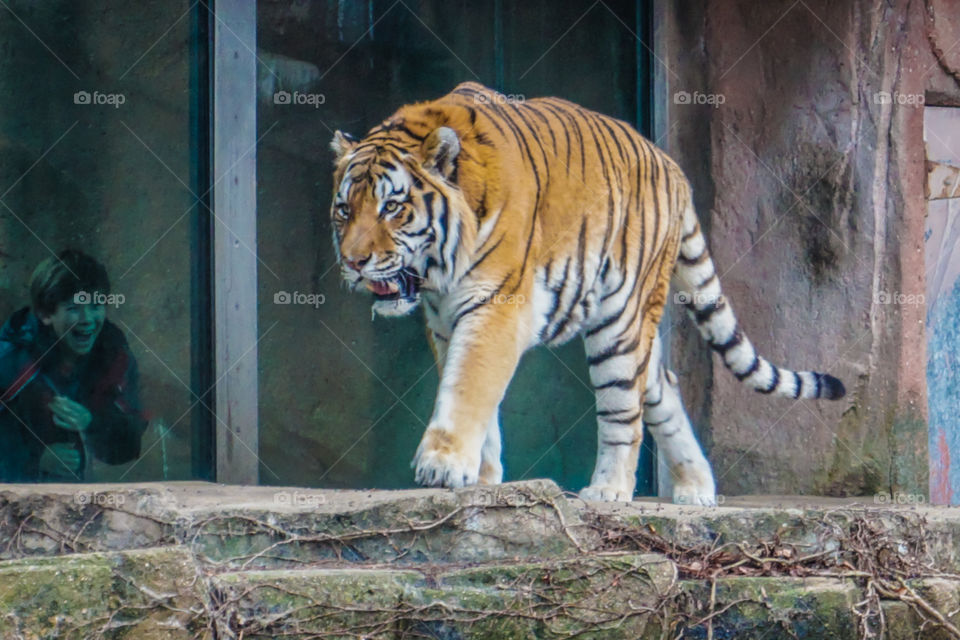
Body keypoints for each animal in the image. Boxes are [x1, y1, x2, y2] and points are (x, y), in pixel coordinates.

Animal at [328, 81, 845, 505]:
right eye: (344, 210)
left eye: (392, 207)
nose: (353, 263)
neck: (441, 272)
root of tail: (672, 166)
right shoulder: (442, 321)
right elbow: (475, 394)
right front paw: (480, 476)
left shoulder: (495, 306)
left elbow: (468, 385)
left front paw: (442, 465)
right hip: (638, 334)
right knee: (662, 385)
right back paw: (697, 489)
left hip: (620, 324)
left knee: (624, 410)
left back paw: (609, 490)